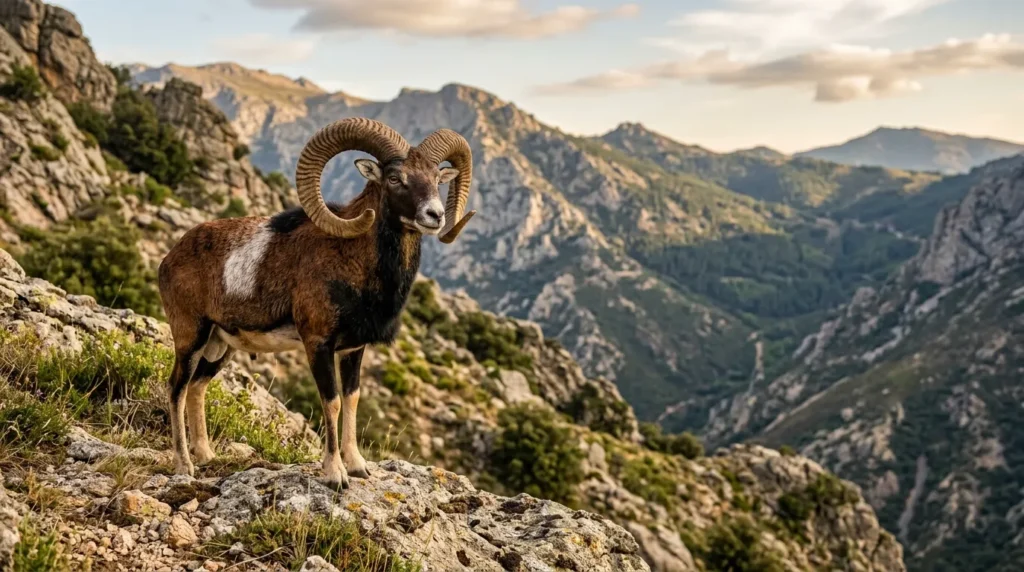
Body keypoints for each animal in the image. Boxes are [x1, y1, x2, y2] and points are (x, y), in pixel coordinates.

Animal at [156, 117, 476, 488]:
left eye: (437, 178)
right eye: (395, 178)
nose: (434, 215)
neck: (352, 261)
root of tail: (170, 259)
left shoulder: (353, 350)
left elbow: (352, 400)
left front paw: (358, 466)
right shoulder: (318, 345)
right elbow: (332, 402)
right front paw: (336, 474)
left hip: (219, 348)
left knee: (197, 388)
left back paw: (207, 456)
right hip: (191, 337)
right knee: (177, 388)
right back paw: (184, 466)